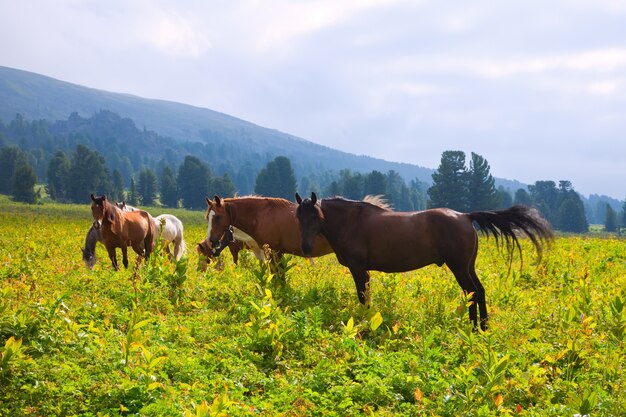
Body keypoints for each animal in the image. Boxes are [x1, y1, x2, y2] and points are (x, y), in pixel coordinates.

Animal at [292, 193, 552, 332]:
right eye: (298, 216)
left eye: (315, 215)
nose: (306, 248)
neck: (351, 221)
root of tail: (465, 216)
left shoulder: (359, 268)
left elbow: (363, 297)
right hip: (468, 266)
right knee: (480, 291)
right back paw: (483, 327)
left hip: (459, 267)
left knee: (471, 292)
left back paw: (474, 328)